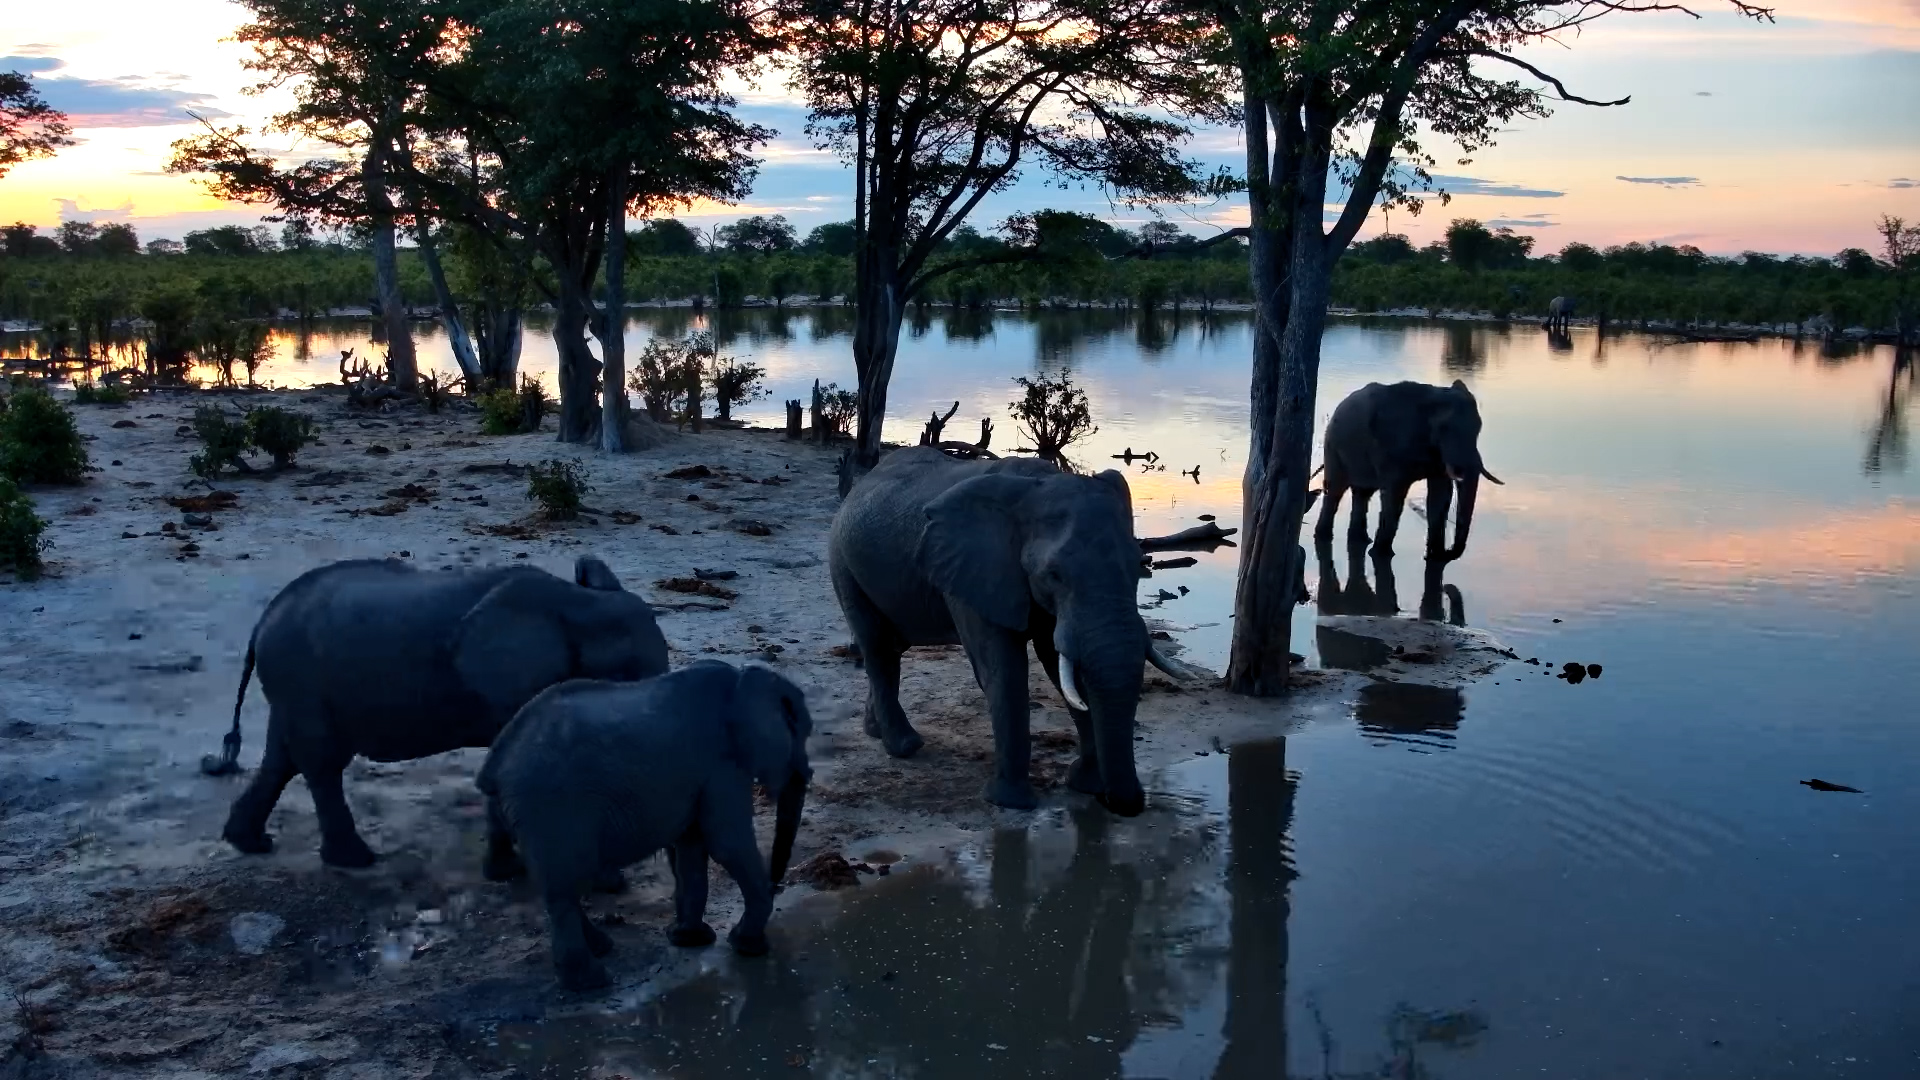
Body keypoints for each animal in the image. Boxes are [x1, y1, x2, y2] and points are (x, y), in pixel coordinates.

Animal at [208, 555, 669, 868]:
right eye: (626, 673)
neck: (579, 603)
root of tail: (261, 623)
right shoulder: (511, 684)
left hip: (294, 686)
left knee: (282, 758)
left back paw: (251, 843)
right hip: (301, 678)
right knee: (321, 762)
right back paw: (356, 860)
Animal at [476, 660, 812, 991]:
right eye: (804, 733)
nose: (777, 885)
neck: (744, 678)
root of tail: (496, 762)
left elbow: (692, 846)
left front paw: (689, 939)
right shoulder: (723, 764)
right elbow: (727, 843)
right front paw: (749, 947)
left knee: (562, 887)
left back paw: (602, 948)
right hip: (551, 808)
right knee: (565, 889)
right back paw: (591, 982)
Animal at [828, 446, 1188, 816]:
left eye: (1140, 565)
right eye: (1054, 574)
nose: (1128, 804)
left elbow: (1062, 664)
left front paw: (1086, 786)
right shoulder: (975, 570)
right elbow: (1004, 670)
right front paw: (1011, 802)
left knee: (892, 647)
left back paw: (875, 731)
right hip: (842, 559)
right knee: (878, 647)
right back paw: (904, 746)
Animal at [1314, 380, 1503, 563]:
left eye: (1479, 427)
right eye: (1444, 428)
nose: (1448, 552)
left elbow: (1440, 496)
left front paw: (1434, 557)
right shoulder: (1392, 445)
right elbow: (1395, 496)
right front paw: (1381, 555)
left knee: (1362, 494)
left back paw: (1361, 540)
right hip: (1333, 447)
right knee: (1335, 491)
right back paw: (1326, 537)